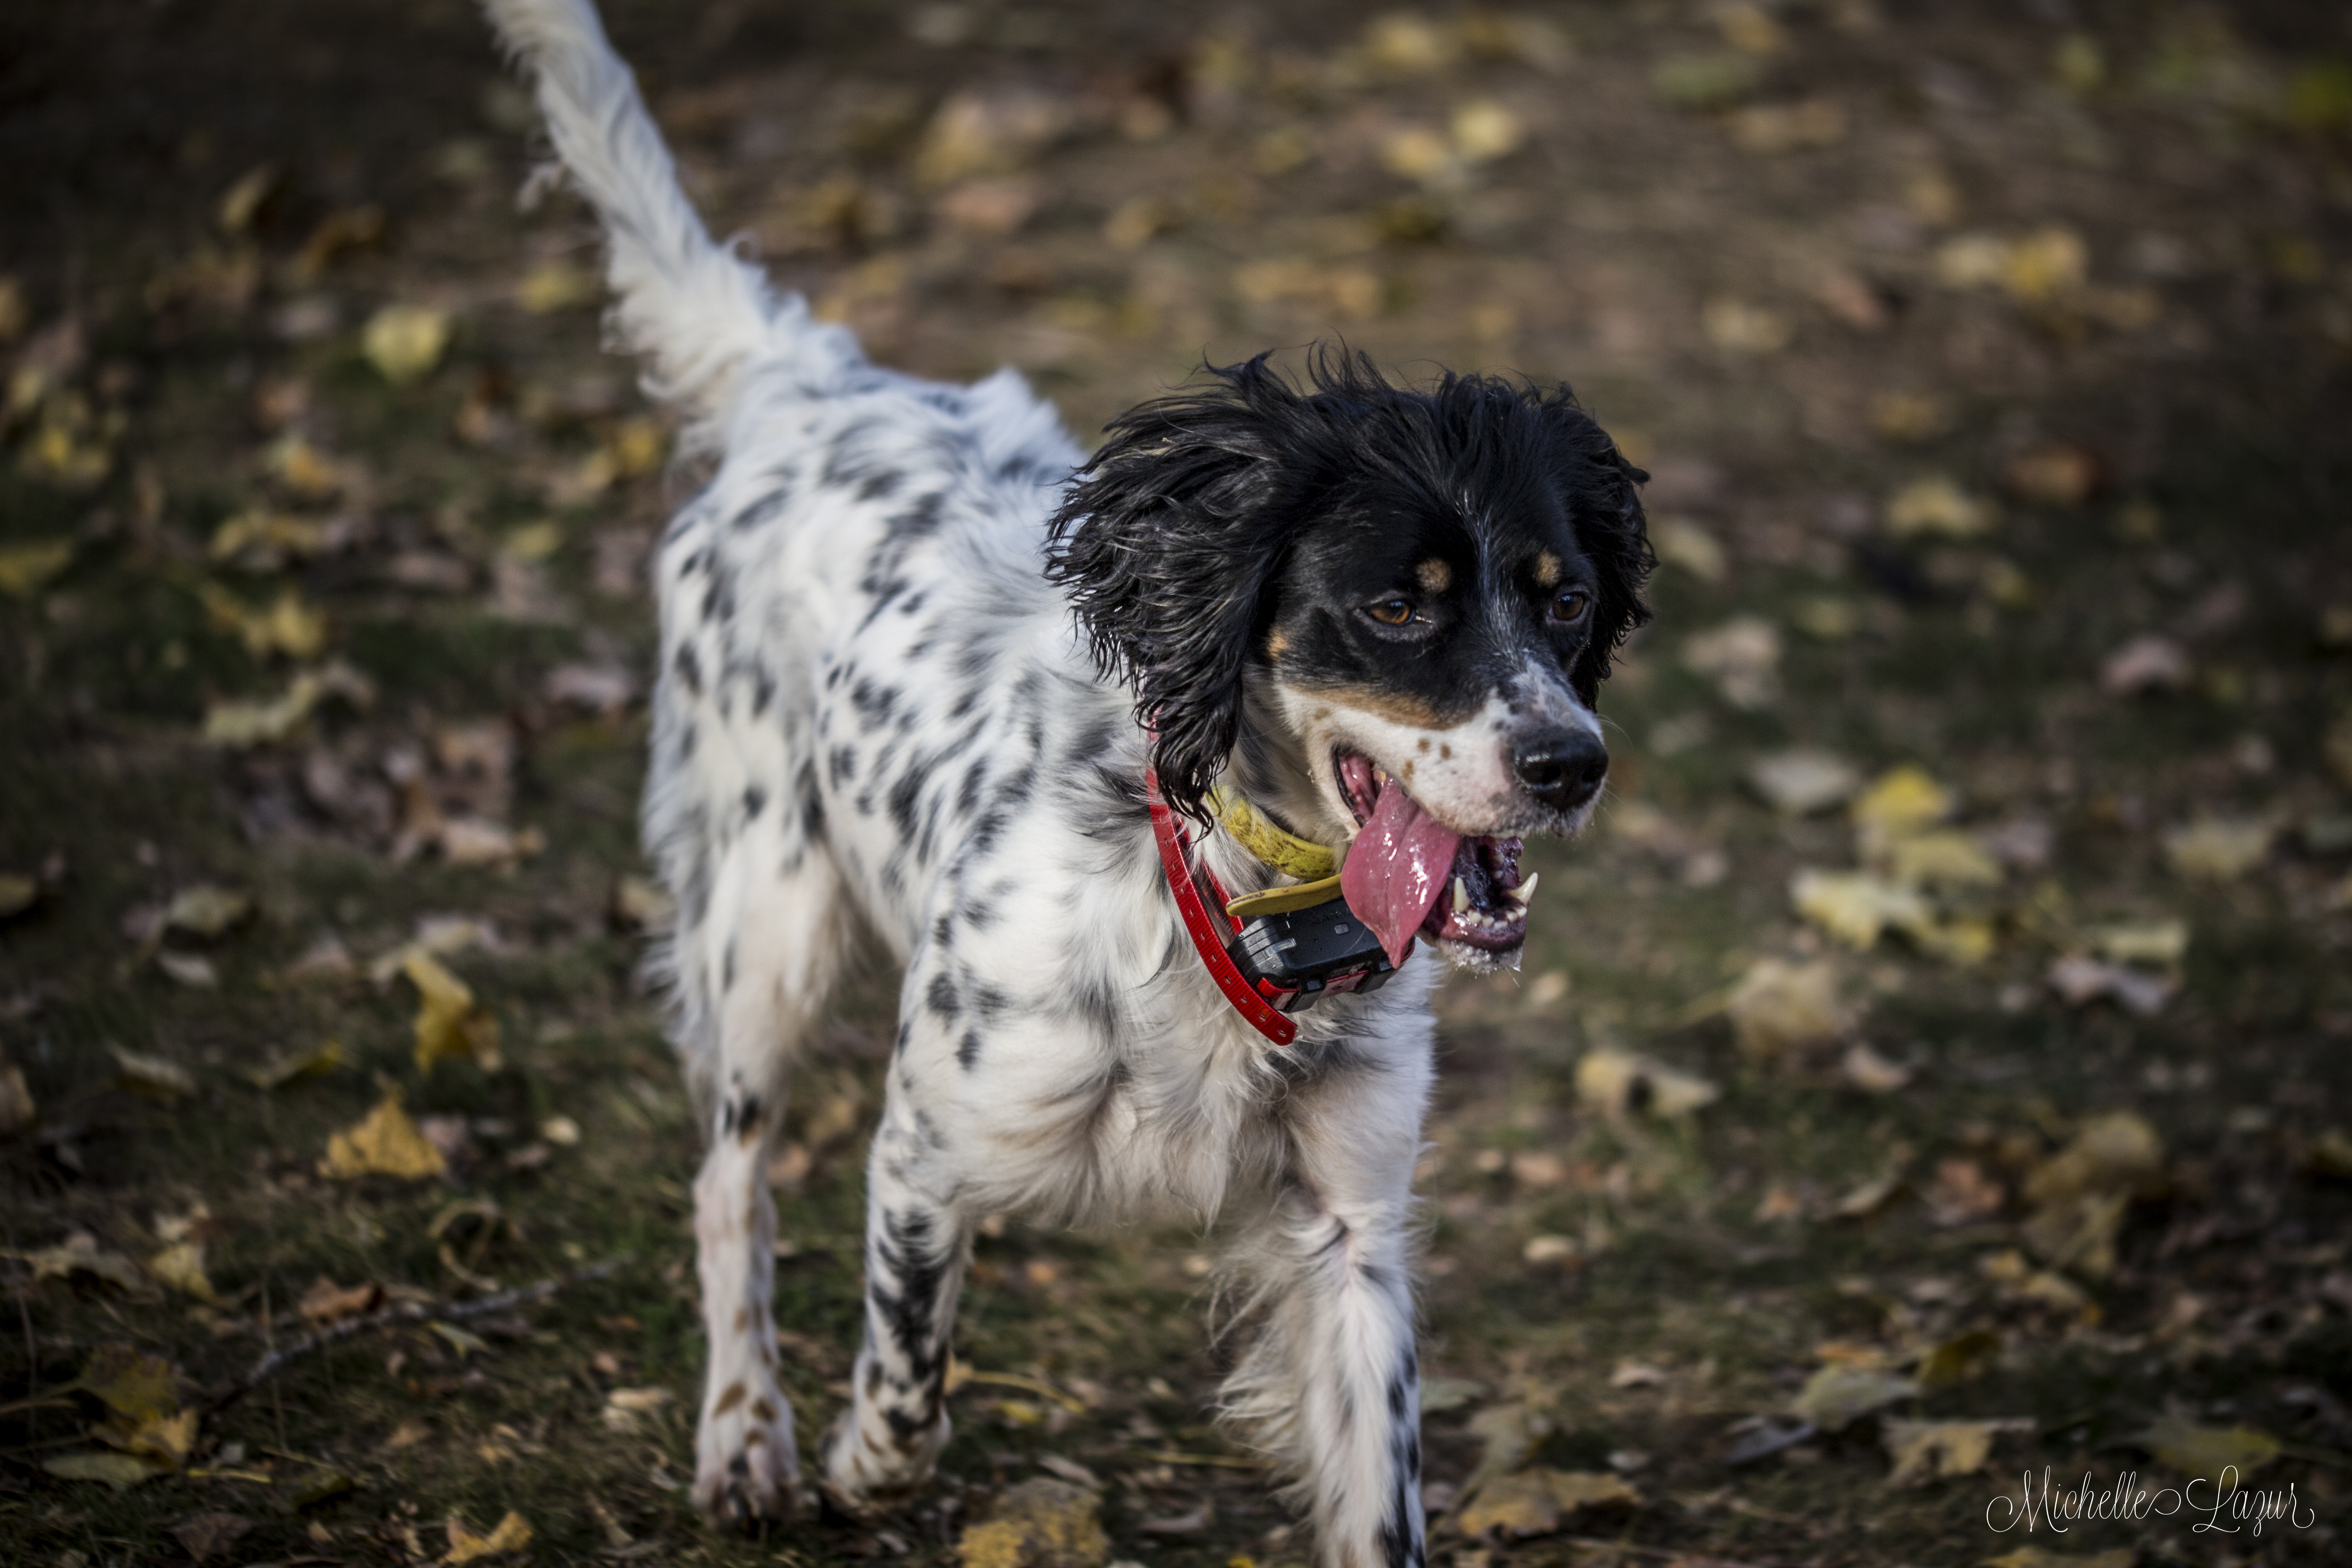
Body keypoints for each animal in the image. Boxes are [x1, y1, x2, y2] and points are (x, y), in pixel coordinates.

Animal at [484, 6, 1646, 1561]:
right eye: (1399, 607)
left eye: (1565, 595)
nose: (1571, 760)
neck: (1223, 900)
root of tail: (821, 382)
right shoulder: (927, 1145)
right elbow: (906, 1394)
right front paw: (855, 1456)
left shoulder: (1350, 1232)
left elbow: (1381, 1494)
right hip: (762, 924)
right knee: (729, 1177)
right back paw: (745, 1431)